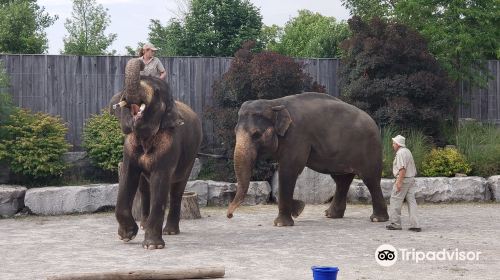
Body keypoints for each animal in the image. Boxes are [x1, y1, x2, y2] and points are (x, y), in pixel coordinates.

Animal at [110, 58, 202, 249]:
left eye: (157, 92)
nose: (142, 61)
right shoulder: (129, 147)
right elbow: (127, 177)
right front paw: (126, 236)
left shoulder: (170, 146)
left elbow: (160, 181)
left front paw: (152, 246)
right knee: (145, 189)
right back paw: (144, 225)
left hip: (191, 157)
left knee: (176, 190)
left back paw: (170, 231)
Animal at [228, 93, 390, 226]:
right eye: (234, 132)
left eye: (256, 134)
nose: (229, 216)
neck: (274, 103)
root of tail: (374, 123)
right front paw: (297, 210)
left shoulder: (297, 136)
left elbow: (289, 170)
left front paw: (282, 223)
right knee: (341, 180)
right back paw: (331, 215)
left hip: (369, 147)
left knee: (370, 179)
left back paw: (377, 219)